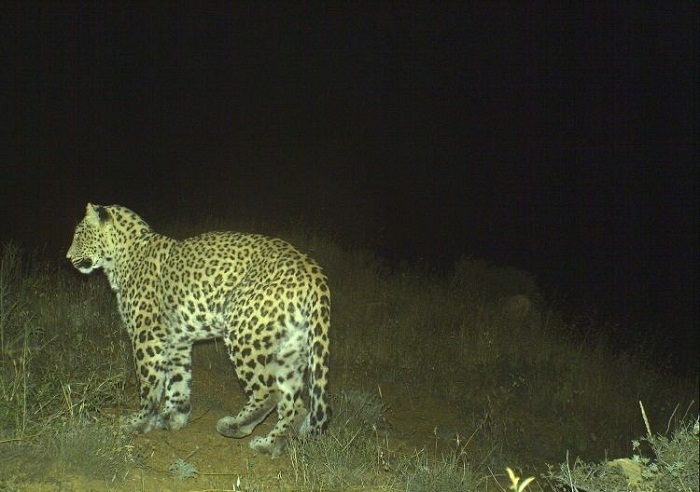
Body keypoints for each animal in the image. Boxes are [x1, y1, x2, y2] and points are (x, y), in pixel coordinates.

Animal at [66, 203, 331, 456]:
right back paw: (270, 444)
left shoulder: (147, 336)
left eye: (79, 234)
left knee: (270, 392)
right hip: (290, 350)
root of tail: (314, 271)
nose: (68, 257)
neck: (121, 257)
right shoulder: (177, 341)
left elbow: (149, 384)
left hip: (242, 332)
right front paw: (173, 416)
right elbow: (178, 380)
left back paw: (235, 425)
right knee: (296, 404)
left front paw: (139, 422)